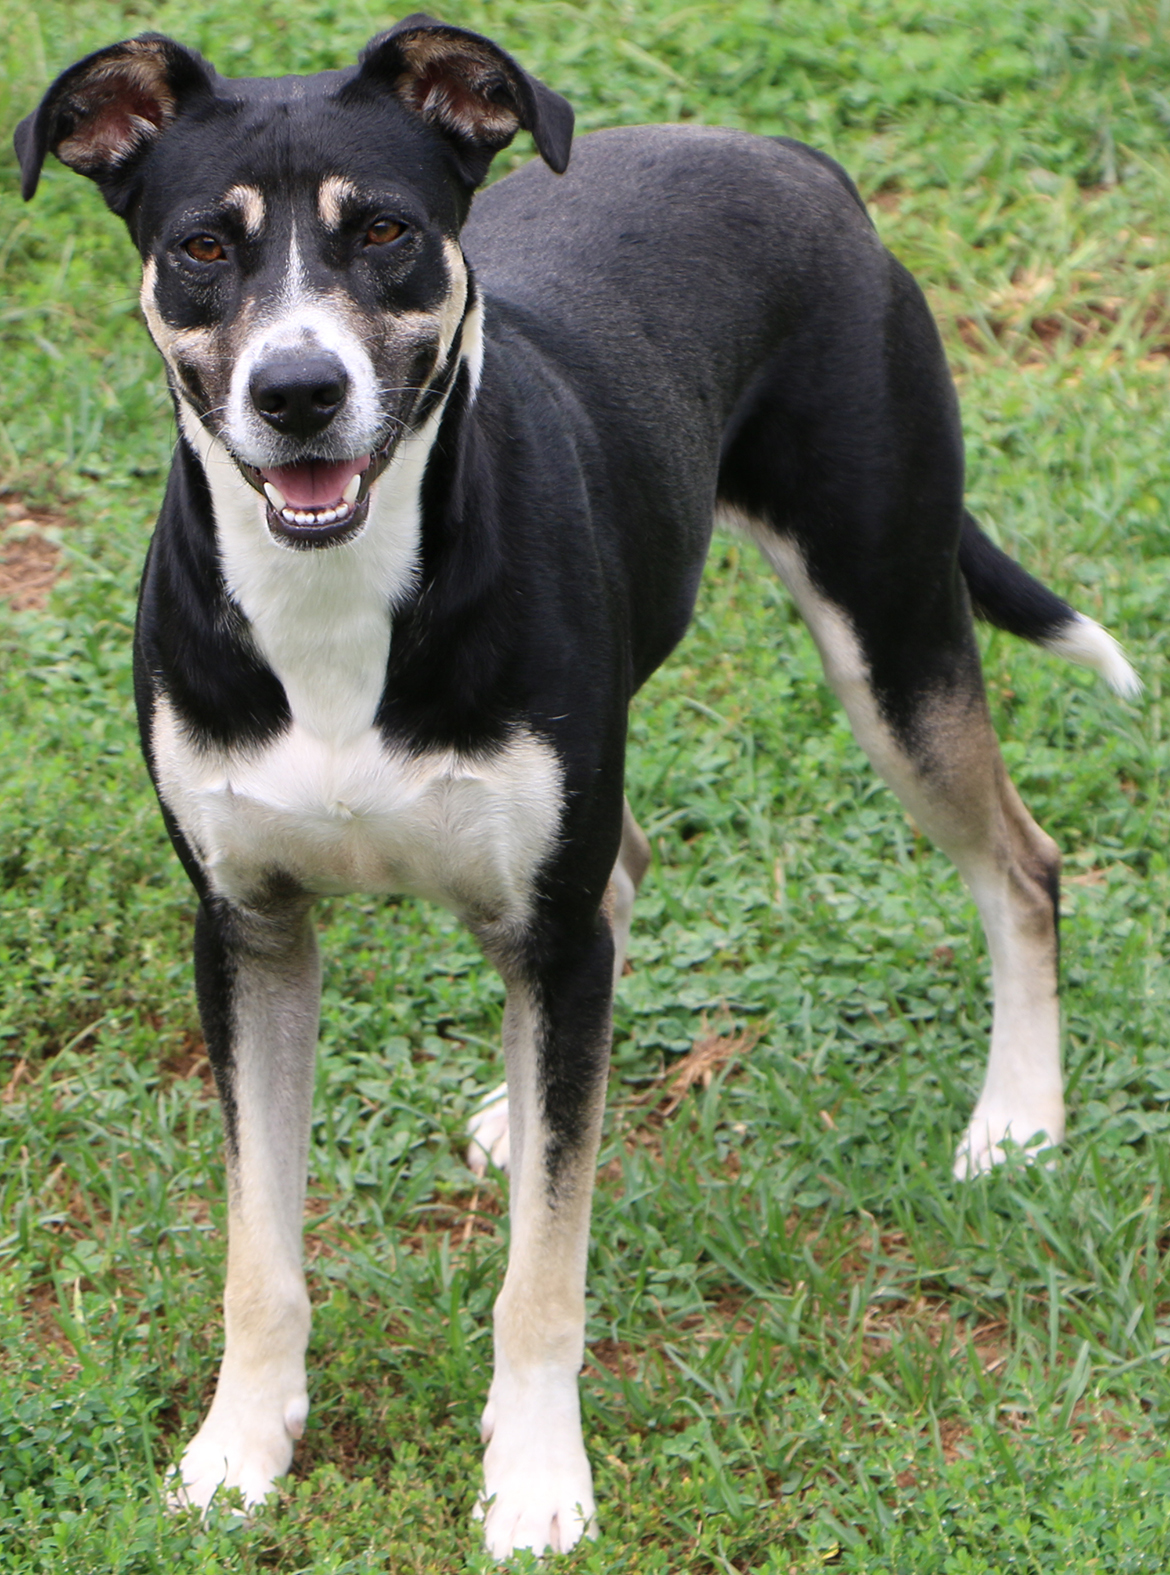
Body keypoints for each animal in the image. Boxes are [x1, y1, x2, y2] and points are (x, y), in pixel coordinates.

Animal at [13, 15, 1140, 1562]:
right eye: (199, 247)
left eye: (386, 232)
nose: (297, 393)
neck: (339, 601)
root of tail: (788, 154)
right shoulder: (246, 931)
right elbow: (258, 1250)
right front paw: (236, 1452)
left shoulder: (539, 925)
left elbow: (542, 1273)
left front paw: (537, 1478)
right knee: (626, 883)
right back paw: (515, 1105)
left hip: (890, 621)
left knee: (1018, 863)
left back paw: (1017, 1118)